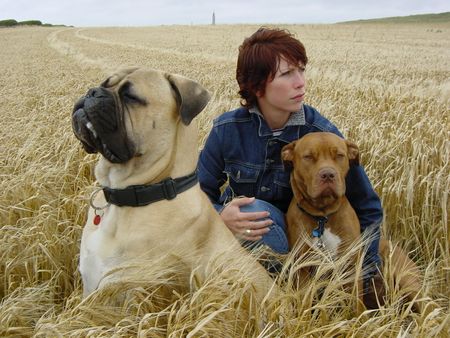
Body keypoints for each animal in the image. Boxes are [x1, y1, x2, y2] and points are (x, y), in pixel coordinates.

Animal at [284, 131, 424, 312]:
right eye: (308, 157)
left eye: (339, 155)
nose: (328, 174)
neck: (323, 217)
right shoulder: (302, 269)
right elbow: (305, 303)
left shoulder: (351, 267)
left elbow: (355, 305)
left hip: (408, 281)